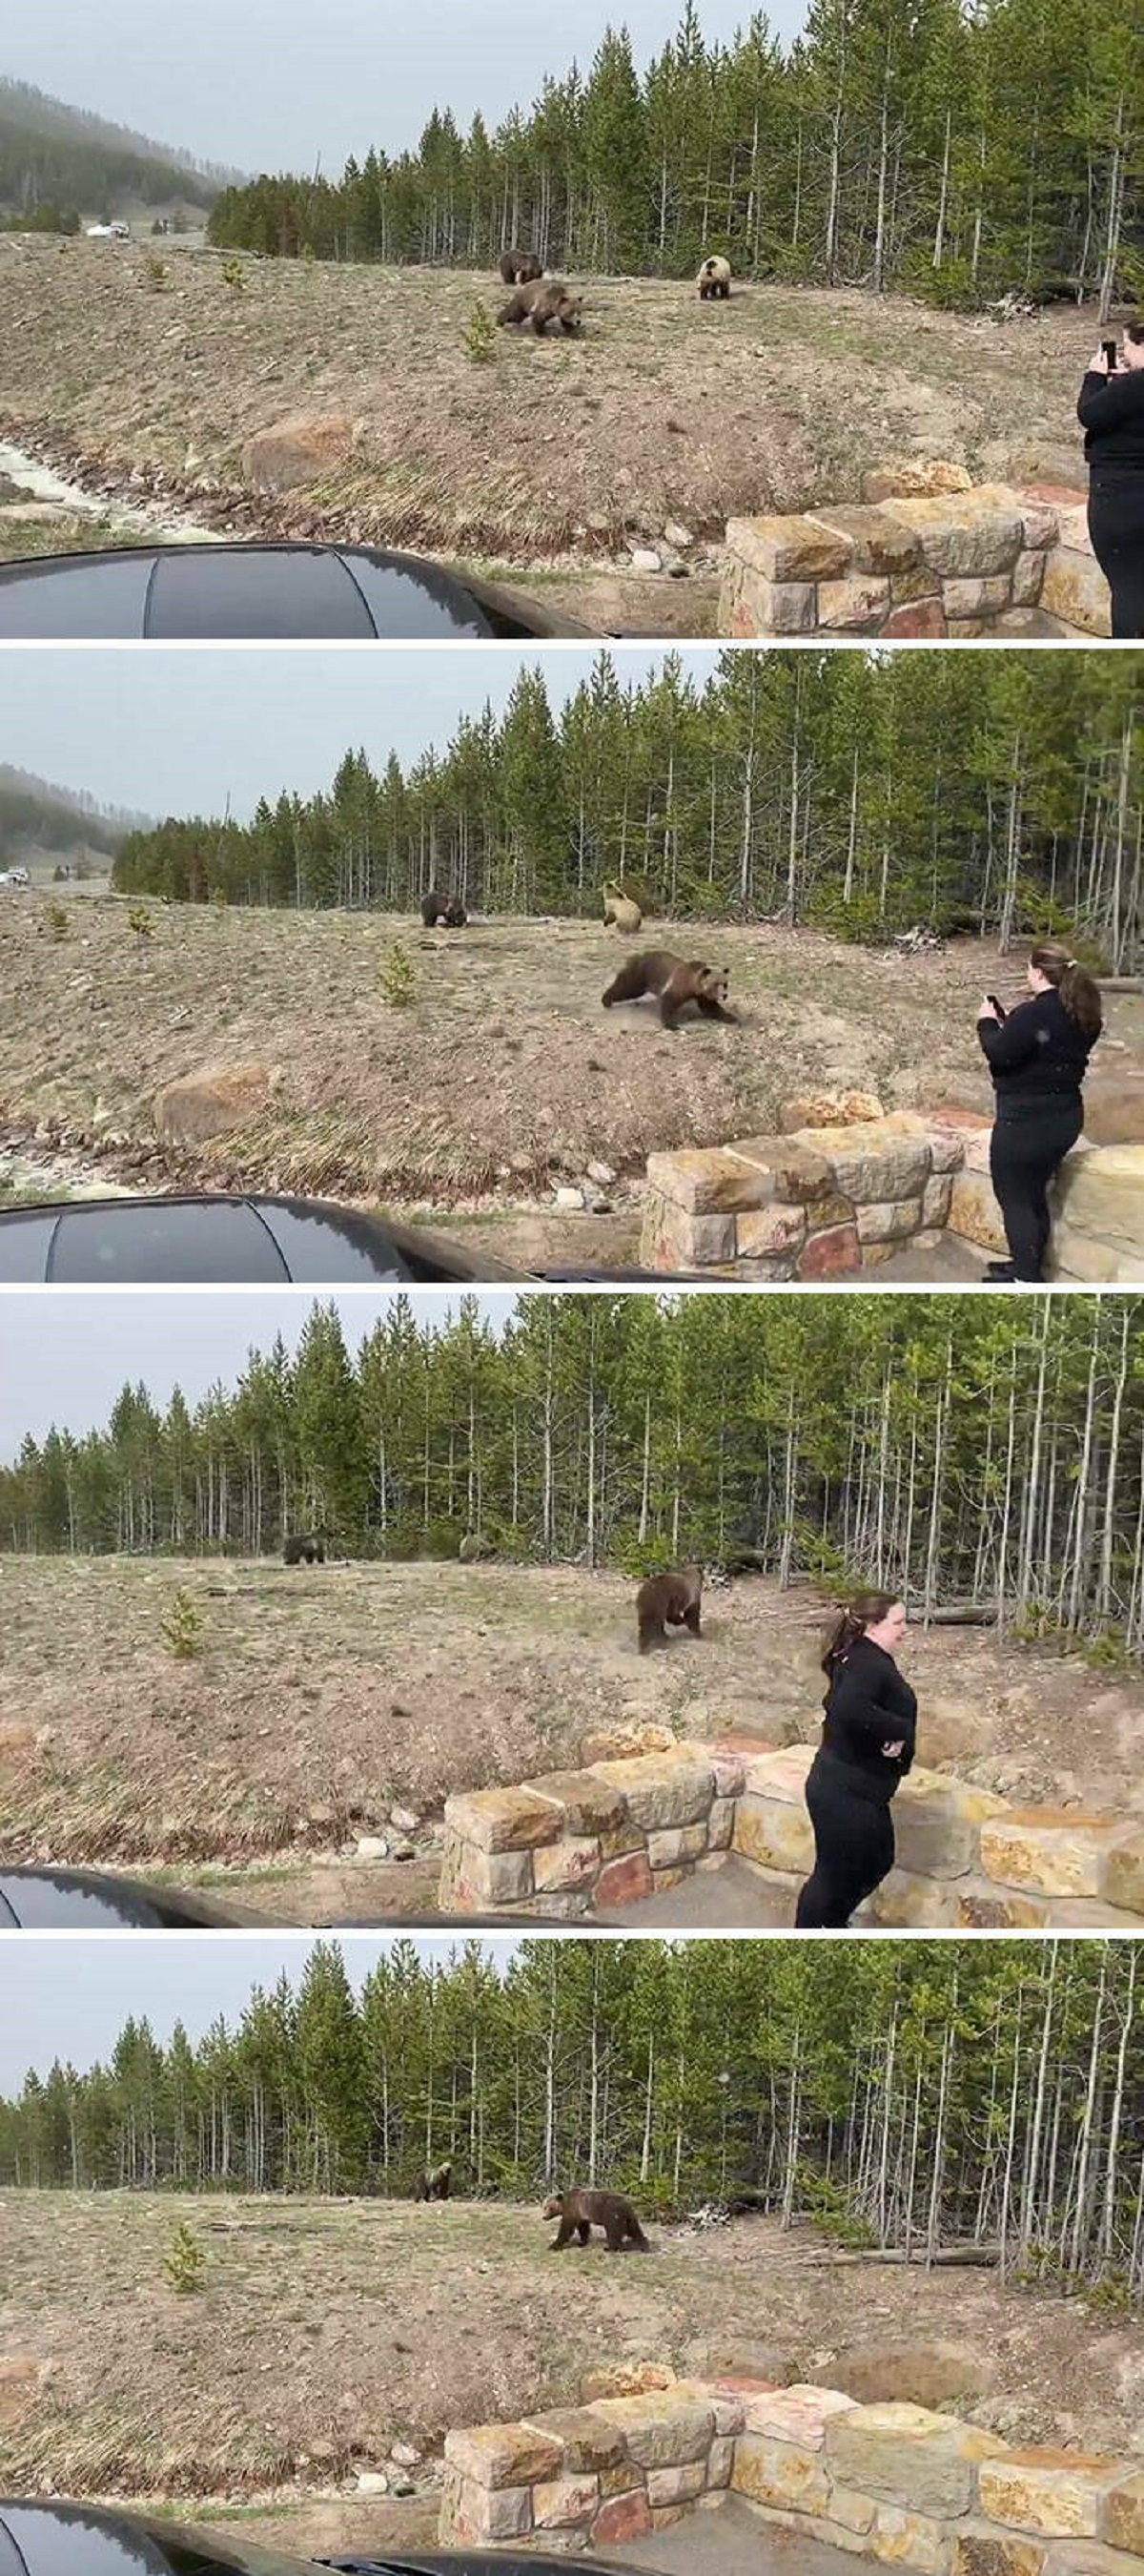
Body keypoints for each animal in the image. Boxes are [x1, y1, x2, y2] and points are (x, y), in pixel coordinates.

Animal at [603, 953, 736, 1030]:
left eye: (725, 984)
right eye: (716, 984)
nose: (724, 995)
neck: (693, 985)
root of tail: (639, 956)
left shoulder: (701, 995)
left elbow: (710, 1008)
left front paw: (730, 1017)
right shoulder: (678, 987)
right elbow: (669, 1004)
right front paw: (672, 1025)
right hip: (642, 975)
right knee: (627, 988)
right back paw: (606, 1000)